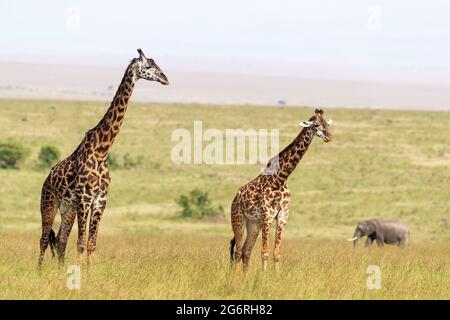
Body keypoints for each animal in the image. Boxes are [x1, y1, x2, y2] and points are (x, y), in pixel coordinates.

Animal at [37, 48, 169, 270]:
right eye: (148, 66)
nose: (165, 79)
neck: (102, 151)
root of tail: (47, 178)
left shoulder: (100, 201)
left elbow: (92, 244)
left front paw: (89, 274)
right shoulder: (85, 200)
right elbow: (81, 243)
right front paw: (81, 275)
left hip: (68, 209)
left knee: (61, 239)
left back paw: (60, 270)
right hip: (49, 203)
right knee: (45, 238)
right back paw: (39, 271)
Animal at [230, 109, 332, 272]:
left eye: (327, 124)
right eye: (316, 124)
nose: (329, 137)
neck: (280, 179)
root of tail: (235, 198)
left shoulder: (283, 216)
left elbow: (276, 253)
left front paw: (275, 275)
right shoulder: (267, 216)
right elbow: (264, 252)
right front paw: (264, 276)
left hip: (254, 224)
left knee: (246, 251)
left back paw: (245, 277)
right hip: (238, 219)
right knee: (238, 251)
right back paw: (235, 277)